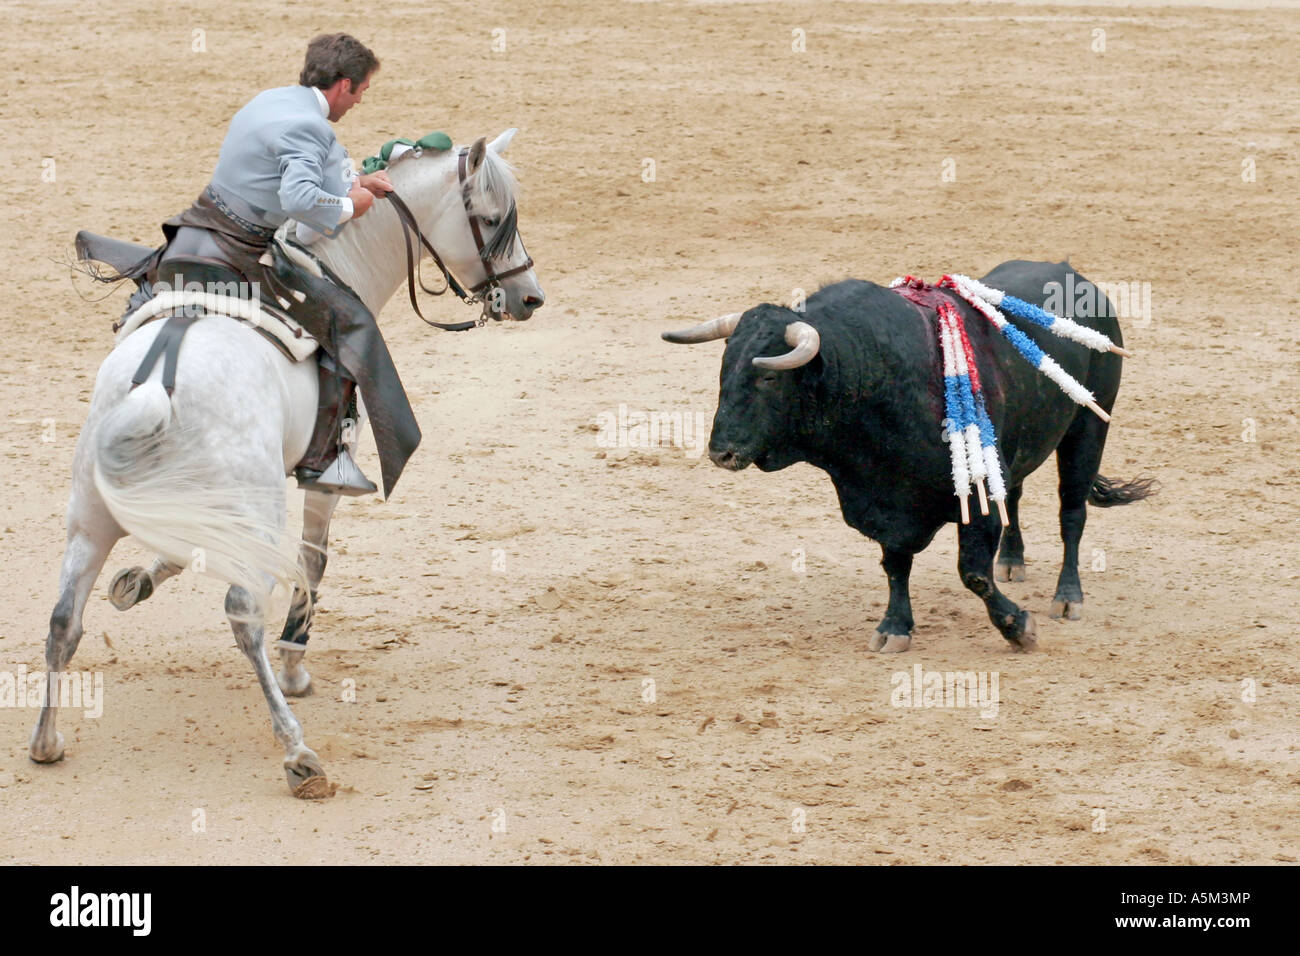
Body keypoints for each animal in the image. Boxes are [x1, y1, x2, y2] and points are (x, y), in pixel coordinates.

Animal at [32, 128, 543, 801]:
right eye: (489, 218)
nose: (530, 296)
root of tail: (158, 384)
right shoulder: (324, 479)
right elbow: (312, 561)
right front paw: (296, 664)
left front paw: (137, 580)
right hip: (248, 512)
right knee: (244, 614)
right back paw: (298, 752)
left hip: (88, 521)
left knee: (64, 618)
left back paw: (46, 740)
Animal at [665, 260, 1154, 650]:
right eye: (725, 368)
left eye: (768, 378)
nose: (721, 452)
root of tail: (1075, 276)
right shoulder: (886, 498)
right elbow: (895, 563)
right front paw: (895, 626)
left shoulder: (971, 495)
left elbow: (972, 572)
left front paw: (1017, 627)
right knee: (1013, 494)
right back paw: (1012, 560)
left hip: (1089, 426)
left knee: (1071, 512)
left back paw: (1067, 597)